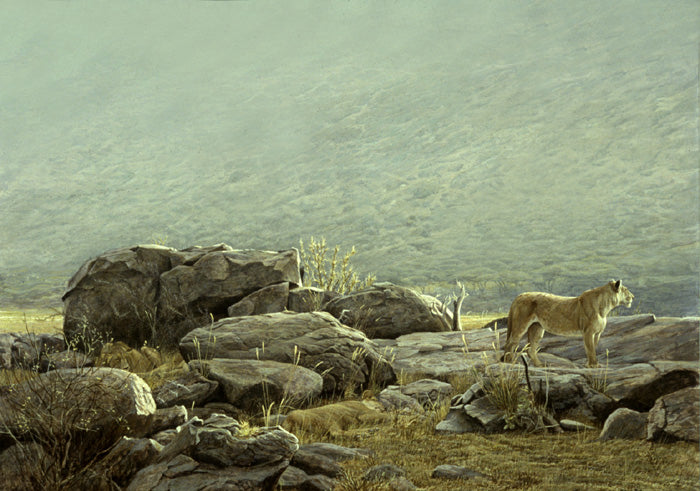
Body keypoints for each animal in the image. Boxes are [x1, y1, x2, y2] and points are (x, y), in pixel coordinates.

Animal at [501, 280, 634, 368]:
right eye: (626, 290)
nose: (633, 296)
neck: (605, 307)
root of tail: (520, 295)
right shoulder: (588, 332)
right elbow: (590, 349)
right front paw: (593, 366)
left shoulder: (597, 333)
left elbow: (593, 348)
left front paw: (592, 364)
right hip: (521, 324)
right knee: (510, 343)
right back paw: (508, 362)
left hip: (537, 328)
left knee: (530, 349)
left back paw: (540, 365)